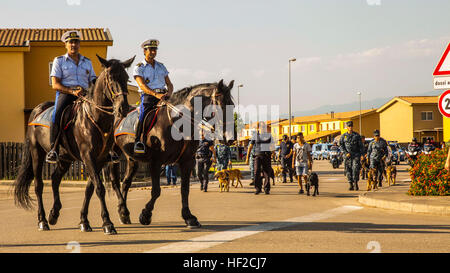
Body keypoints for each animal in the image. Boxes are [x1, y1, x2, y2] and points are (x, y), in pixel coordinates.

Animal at [13, 54, 134, 234]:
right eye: (111, 78)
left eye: (126, 78)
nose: (123, 108)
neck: (95, 117)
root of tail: (36, 110)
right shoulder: (88, 156)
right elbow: (99, 188)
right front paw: (107, 223)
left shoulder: (100, 159)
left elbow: (90, 189)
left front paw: (84, 221)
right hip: (37, 154)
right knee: (38, 186)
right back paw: (43, 221)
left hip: (65, 158)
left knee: (55, 179)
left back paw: (54, 214)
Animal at [109, 79, 236, 227]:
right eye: (221, 106)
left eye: (232, 105)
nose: (230, 138)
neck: (178, 123)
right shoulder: (156, 162)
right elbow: (156, 191)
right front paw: (145, 215)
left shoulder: (187, 161)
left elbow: (185, 189)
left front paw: (188, 217)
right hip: (114, 154)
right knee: (115, 181)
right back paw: (122, 211)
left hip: (132, 159)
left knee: (126, 182)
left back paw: (124, 213)